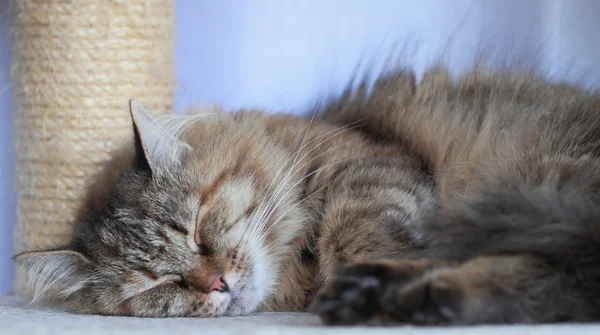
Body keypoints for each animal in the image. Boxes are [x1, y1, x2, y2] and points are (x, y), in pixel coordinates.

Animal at [12, 67, 600, 326]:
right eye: (159, 283)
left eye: (198, 231)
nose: (218, 282)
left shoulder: (374, 169)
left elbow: (351, 234)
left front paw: (354, 269)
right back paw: (407, 297)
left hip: (542, 180)